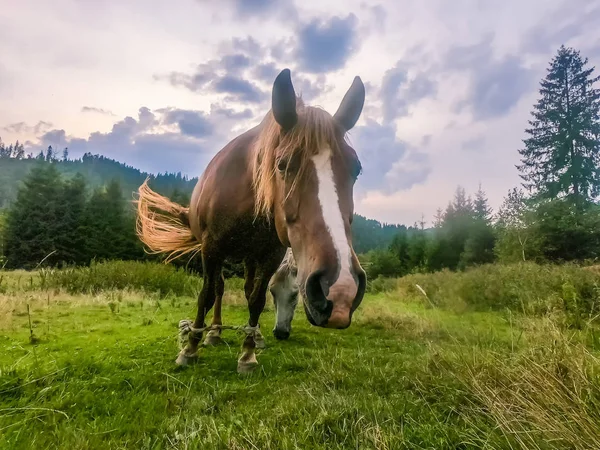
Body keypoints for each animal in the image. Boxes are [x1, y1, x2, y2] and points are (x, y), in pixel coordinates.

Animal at [137, 68, 366, 372]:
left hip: (249, 256)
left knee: (245, 289)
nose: (339, 288)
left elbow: (256, 299)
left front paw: (248, 353)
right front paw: (190, 348)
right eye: (282, 164)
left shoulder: (270, 253)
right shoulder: (211, 249)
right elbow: (206, 295)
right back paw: (213, 333)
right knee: (219, 289)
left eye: (356, 169)